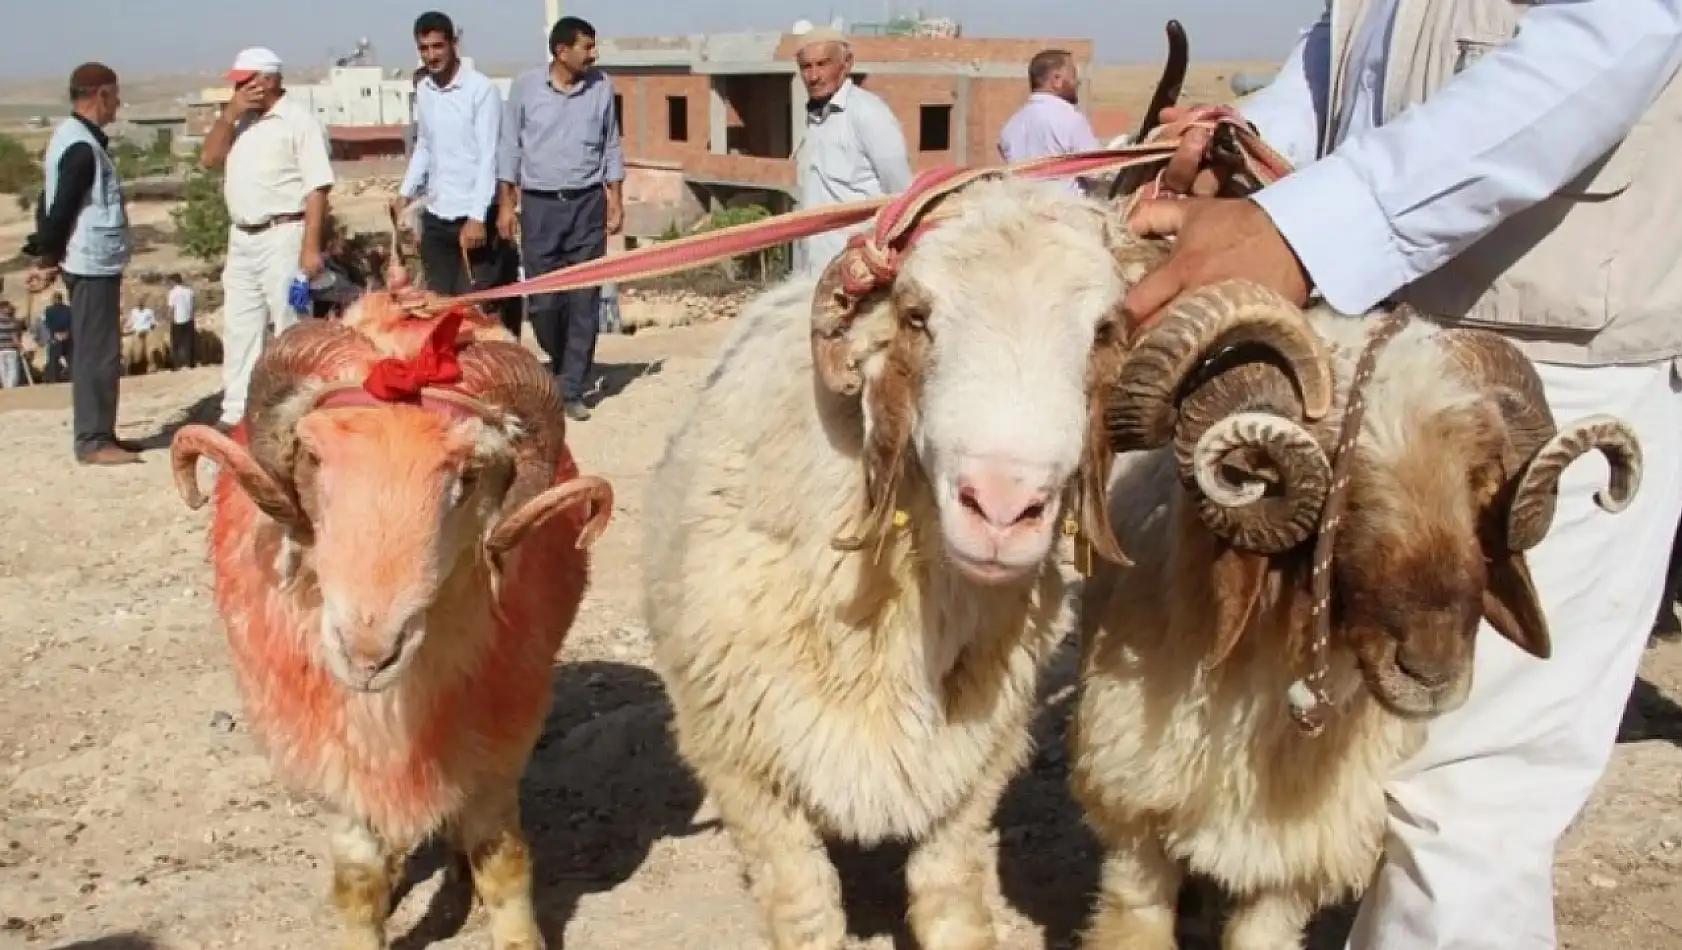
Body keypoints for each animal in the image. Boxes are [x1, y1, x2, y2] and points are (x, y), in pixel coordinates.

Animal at [170, 292, 615, 941]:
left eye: (468, 476)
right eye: (313, 456)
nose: (368, 653)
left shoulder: (495, 745)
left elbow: (504, 866)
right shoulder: (338, 762)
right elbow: (358, 883)